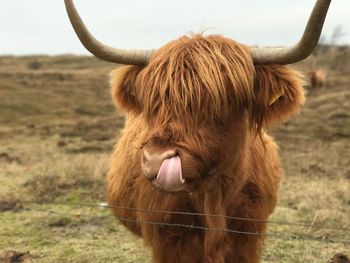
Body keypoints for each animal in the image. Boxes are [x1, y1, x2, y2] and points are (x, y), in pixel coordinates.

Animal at [65, 0, 330, 263]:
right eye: (153, 103)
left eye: (222, 102)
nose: (156, 159)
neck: (213, 199)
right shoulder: (170, 242)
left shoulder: (247, 238)